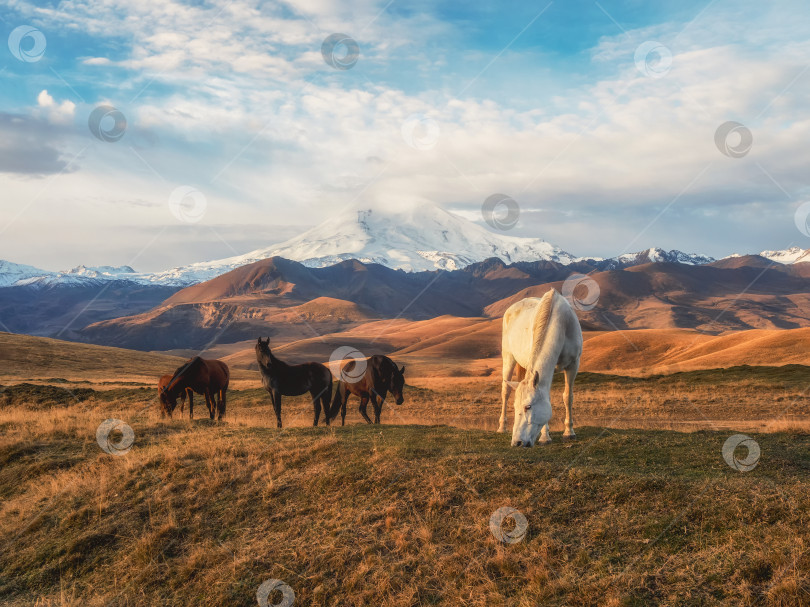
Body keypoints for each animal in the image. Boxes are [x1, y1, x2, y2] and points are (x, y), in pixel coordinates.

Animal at [496, 290, 584, 446]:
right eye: (515, 407)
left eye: (528, 406)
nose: (517, 442)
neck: (561, 324)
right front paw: (545, 436)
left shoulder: (573, 365)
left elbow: (568, 397)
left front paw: (569, 432)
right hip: (508, 358)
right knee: (505, 392)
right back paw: (502, 427)